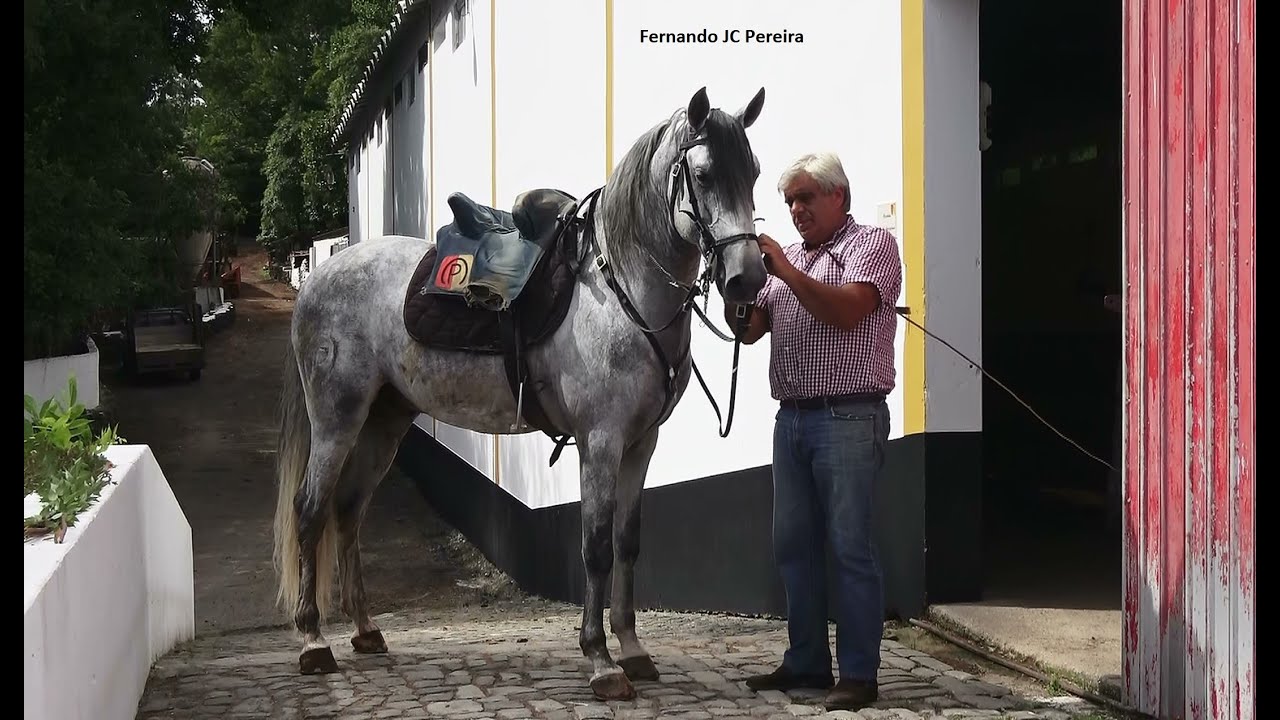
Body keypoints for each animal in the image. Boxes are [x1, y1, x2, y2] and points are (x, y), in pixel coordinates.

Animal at [271, 85, 768, 701]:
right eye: (701, 175)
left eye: (753, 171)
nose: (747, 279)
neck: (621, 292)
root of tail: (318, 276)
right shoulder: (600, 442)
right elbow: (596, 547)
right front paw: (601, 661)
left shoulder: (640, 444)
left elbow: (627, 543)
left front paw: (633, 651)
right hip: (337, 417)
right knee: (311, 509)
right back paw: (314, 642)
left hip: (384, 420)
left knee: (347, 510)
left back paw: (365, 631)